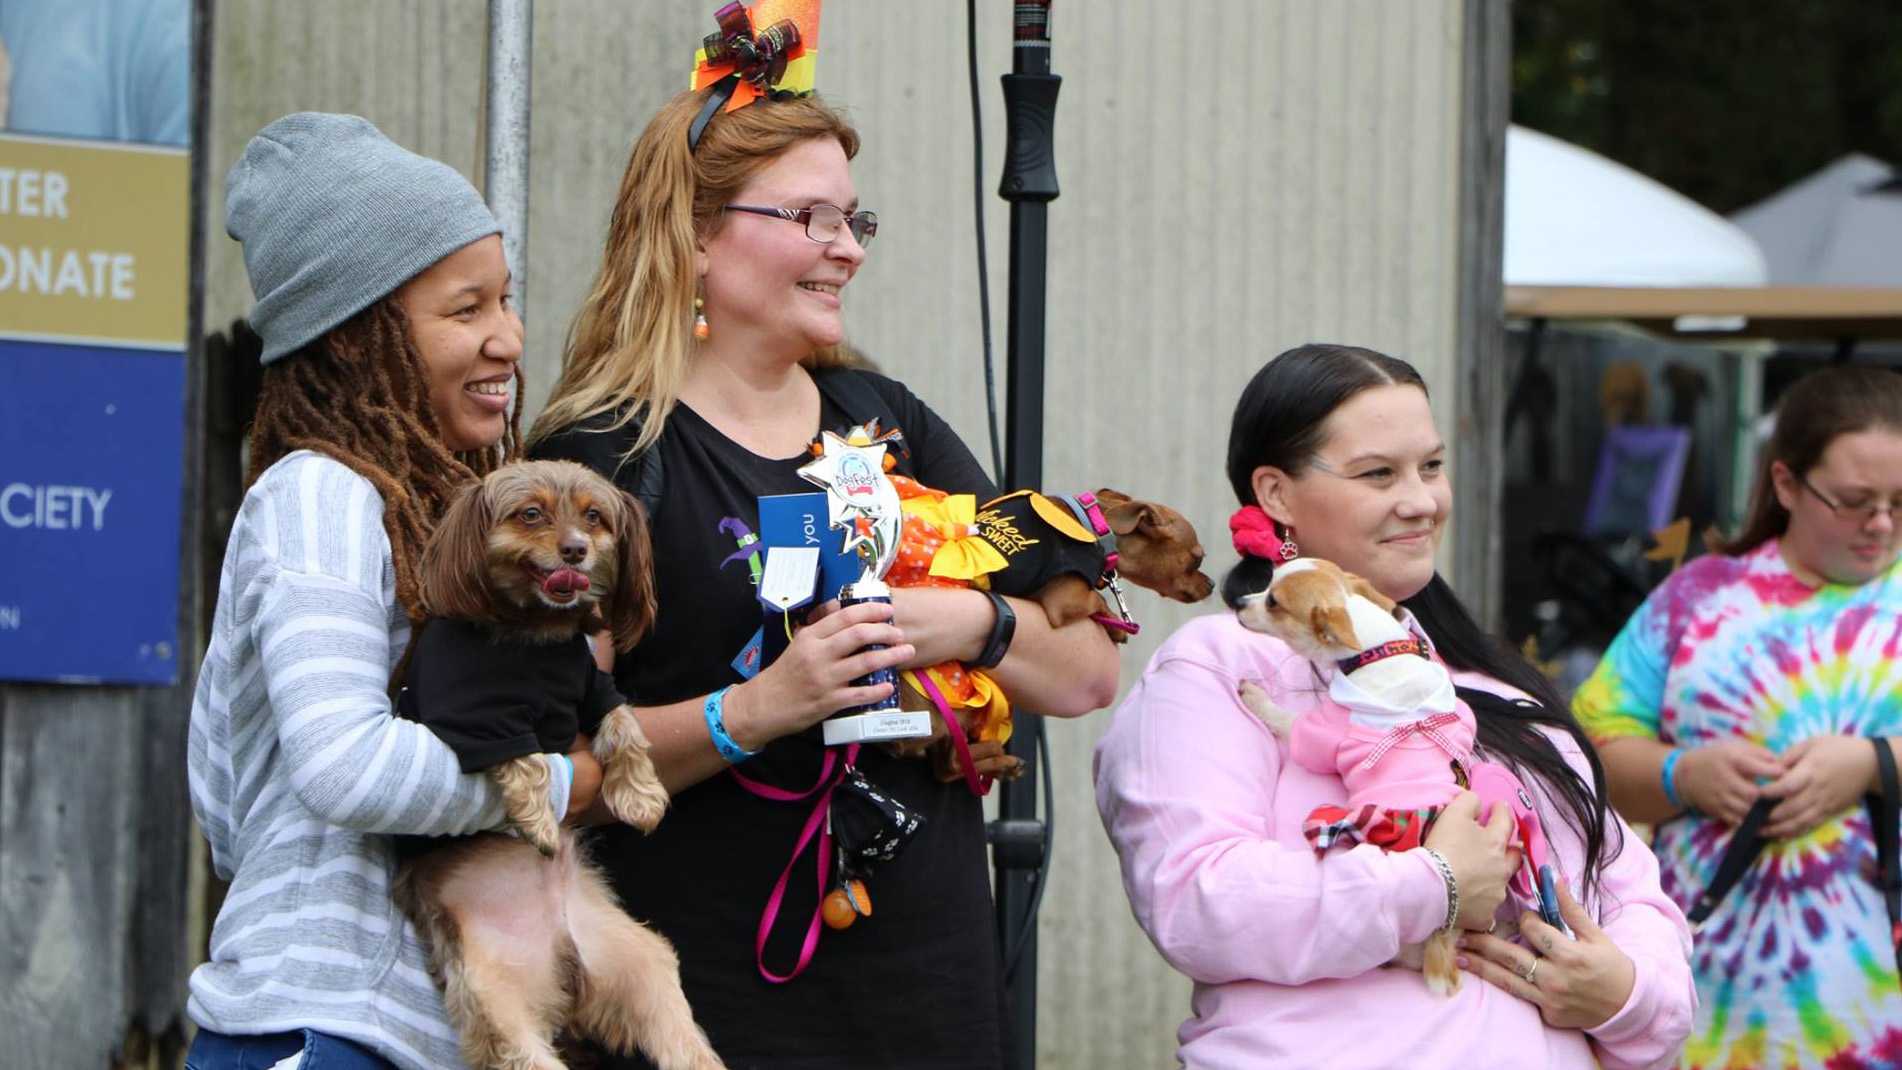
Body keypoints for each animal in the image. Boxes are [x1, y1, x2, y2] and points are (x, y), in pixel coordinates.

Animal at [397, 459, 722, 1070]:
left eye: (594, 517)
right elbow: (527, 761)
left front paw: (640, 796)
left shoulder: (596, 688)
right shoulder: (476, 719)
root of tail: (561, 962)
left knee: (681, 1038)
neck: (535, 639)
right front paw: (541, 824)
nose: (575, 548)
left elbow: (624, 729)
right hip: (499, 1009)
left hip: (643, 964)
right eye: (531, 514)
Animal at [1232, 558, 1559, 1003]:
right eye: (1266, 583)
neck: (1374, 652)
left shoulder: (1323, 732)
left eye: (1273, 603)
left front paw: (1257, 697)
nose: (1238, 602)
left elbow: (1286, 722)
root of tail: (1444, 932)